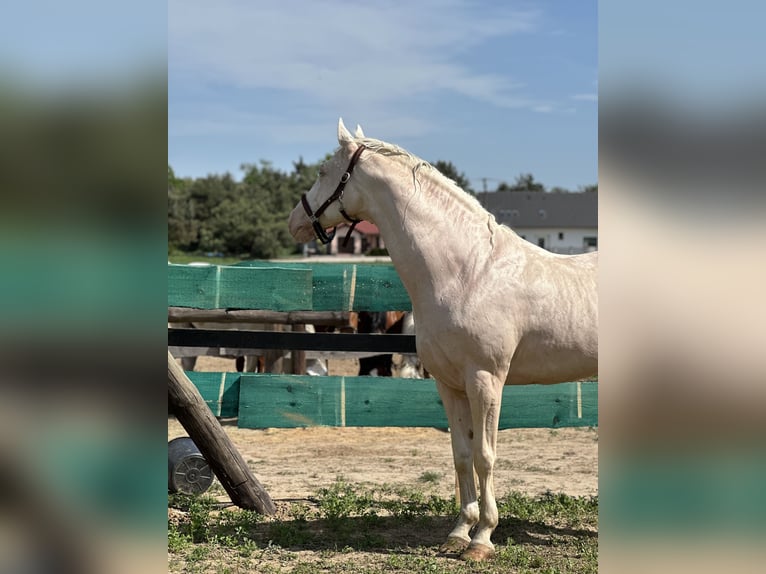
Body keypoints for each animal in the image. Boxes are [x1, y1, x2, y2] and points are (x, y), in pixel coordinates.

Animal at [288, 118, 600, 564]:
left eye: (322, 172)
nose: (295, 221)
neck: (469, 272)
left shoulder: (485, 381)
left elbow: (485, 456)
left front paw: (483, 539)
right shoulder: (449, 384)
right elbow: (461, 455)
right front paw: (458, 533)